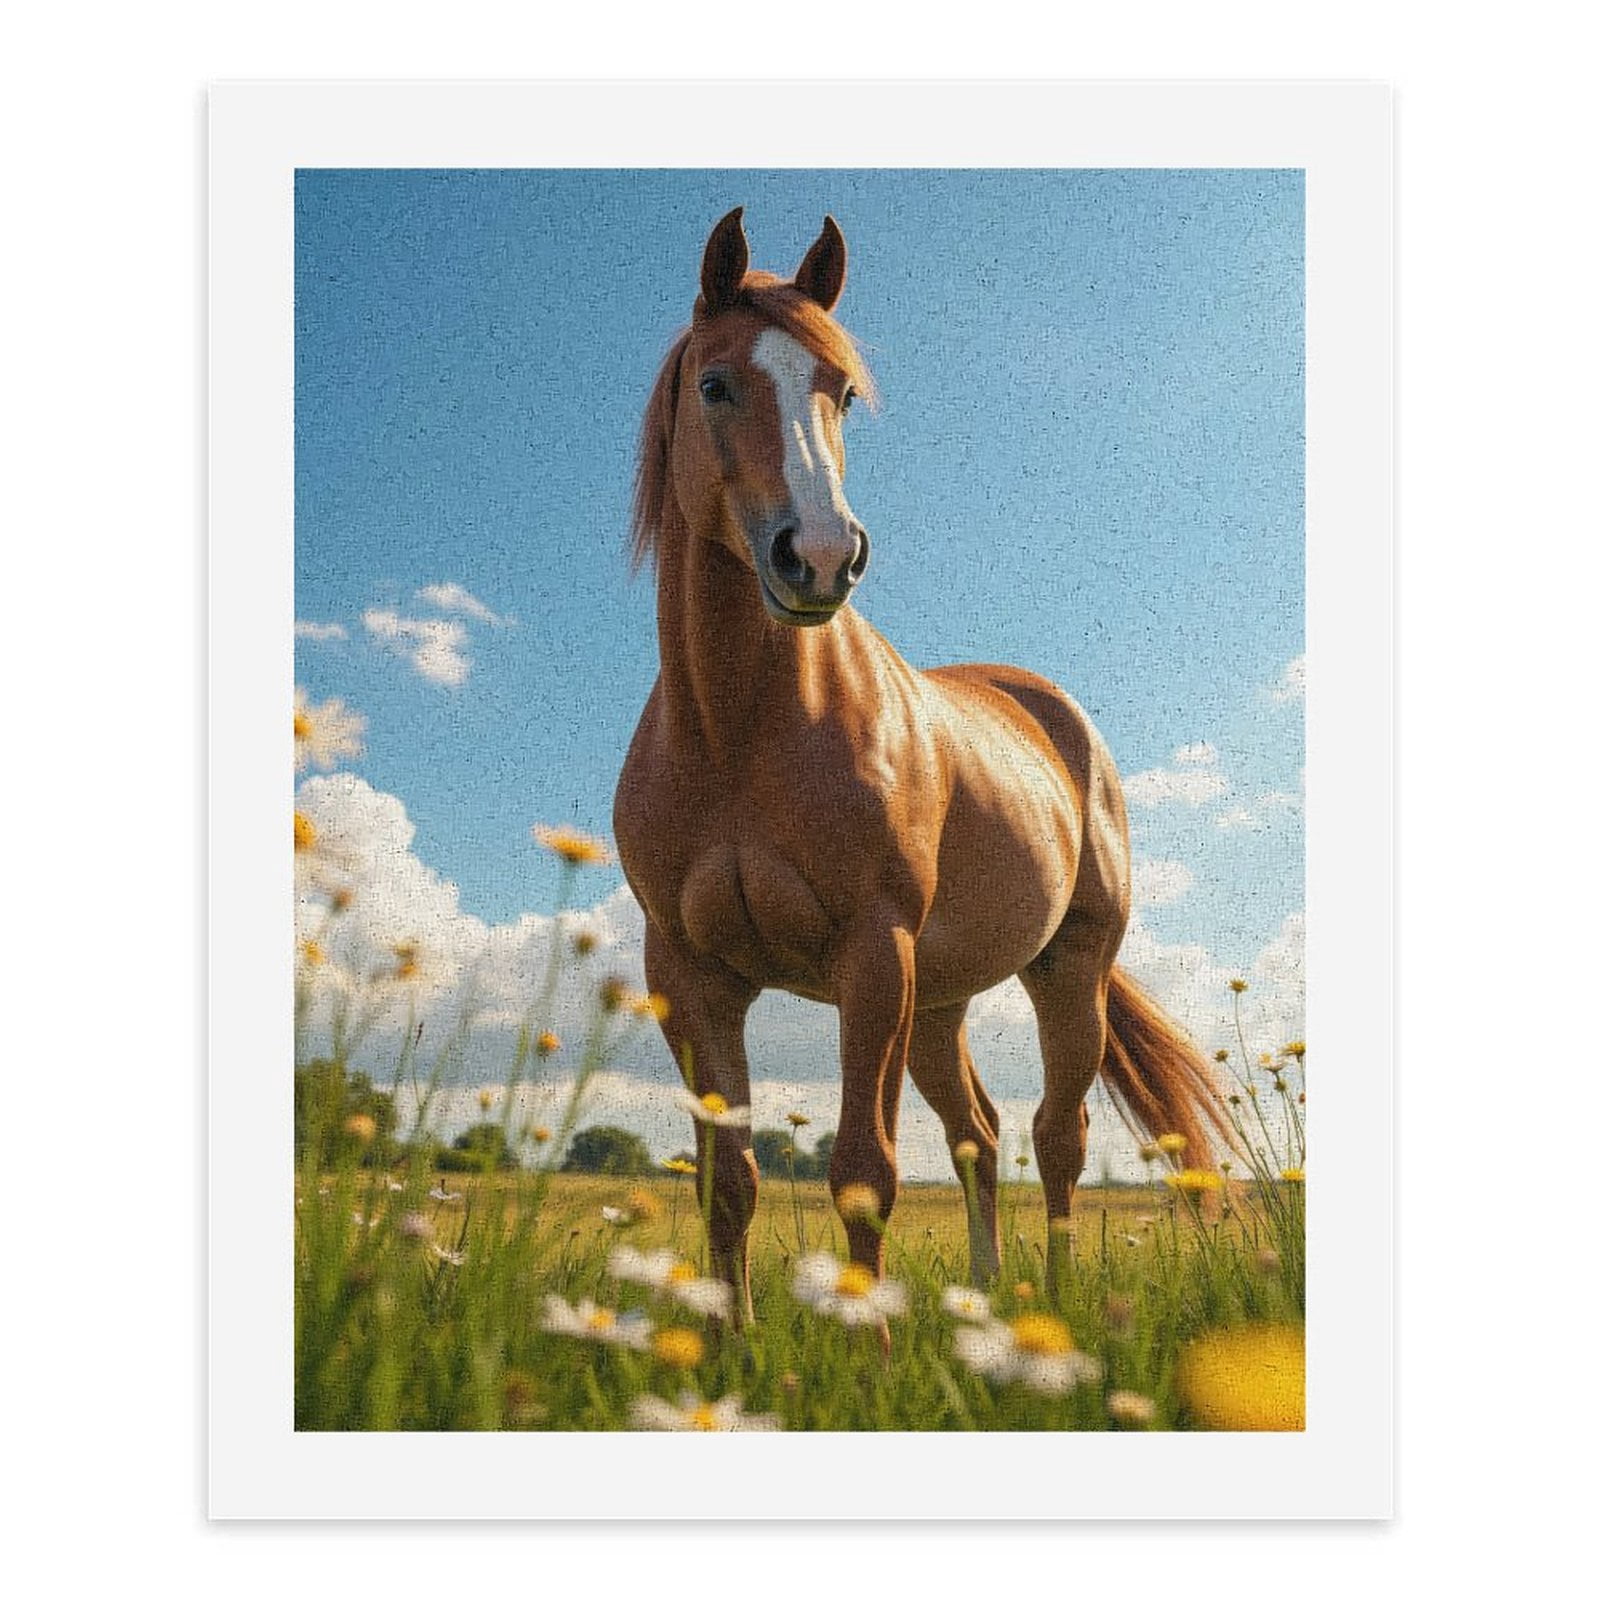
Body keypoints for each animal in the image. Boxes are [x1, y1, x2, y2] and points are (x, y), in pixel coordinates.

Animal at [614, 208, 1229, 1320]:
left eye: (843, 391)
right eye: (716, 384)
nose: (819, 557)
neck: (736, 732)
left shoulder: (872, 954)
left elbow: (865, 1168)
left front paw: (868, 1340)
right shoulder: (689, 974)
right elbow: (731, 1181)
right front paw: (725, 1342)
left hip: (1064, 972)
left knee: (1055, 1138)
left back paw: (1051, 1307)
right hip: (939, 1001)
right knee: (977, 1133)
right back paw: (981, 1302)